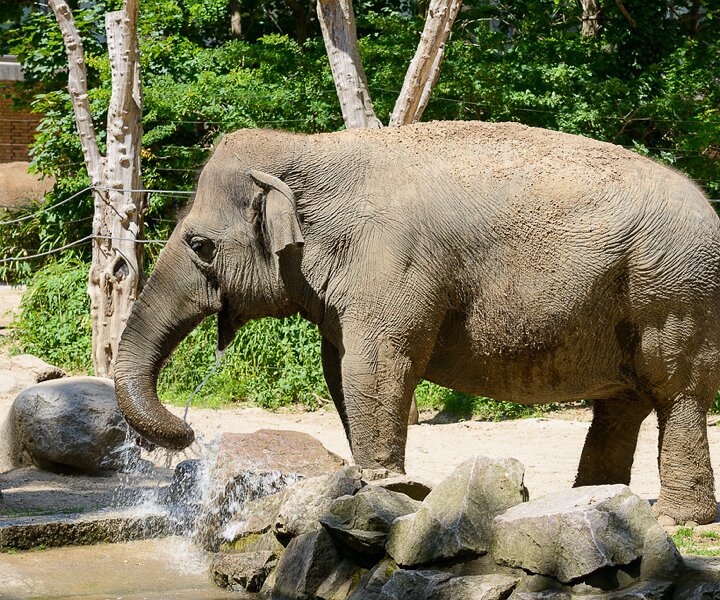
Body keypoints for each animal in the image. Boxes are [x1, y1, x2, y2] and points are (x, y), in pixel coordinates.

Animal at [114, 120, 720, 525]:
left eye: (200, 246)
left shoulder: (391, 264)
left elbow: (377, 367)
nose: (188, 432)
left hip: (674, 292)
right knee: (622, 402)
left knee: (678, 391)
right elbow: (342, 373)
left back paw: (676, 519)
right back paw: (592, 500)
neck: (310, 147)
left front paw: (385, 491)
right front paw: (368, 485)